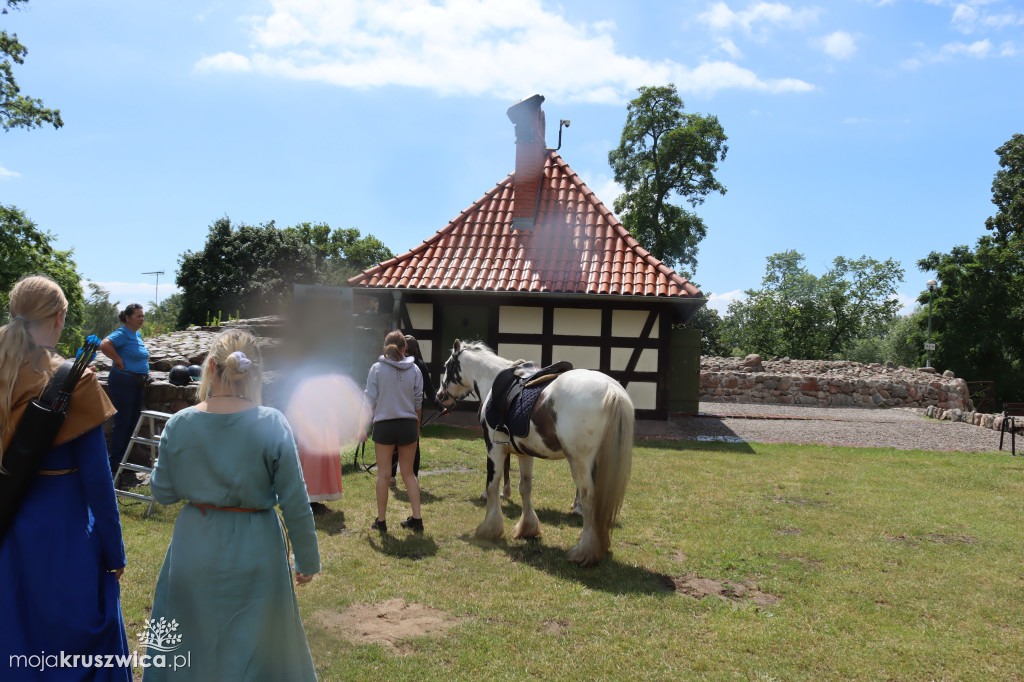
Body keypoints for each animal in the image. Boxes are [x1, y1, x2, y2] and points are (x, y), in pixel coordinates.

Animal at [438, 337, 634, 565]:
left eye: (447, 366)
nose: (440, 396)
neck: (493, 380)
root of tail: (612, 390)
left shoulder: (495, 449)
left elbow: (492, 486)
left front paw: (489, 529)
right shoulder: (524, 452)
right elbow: (525, 488)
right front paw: (527, 528)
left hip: (580, 462)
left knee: (588, 498)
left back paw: (583, 551)